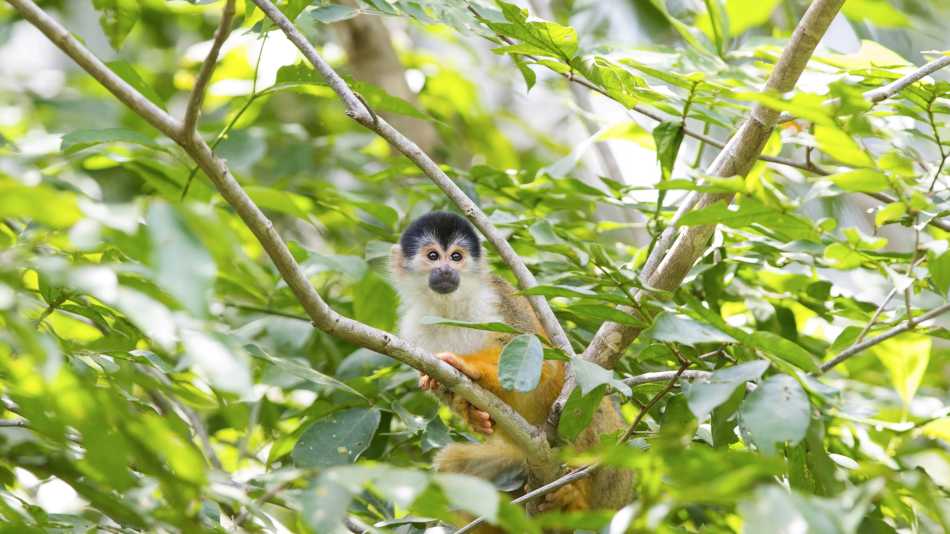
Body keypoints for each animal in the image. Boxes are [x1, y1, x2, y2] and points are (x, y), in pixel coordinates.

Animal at [389, 211, 632, 523]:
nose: (445, 270)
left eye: (456, 257)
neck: (449, 305)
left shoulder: (498, 295)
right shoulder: (413, 329)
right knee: (452, 466)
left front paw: (471, 367)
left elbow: (545, 363)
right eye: (433, 256)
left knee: (584, 398)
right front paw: (471, 412)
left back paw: (575, 497)